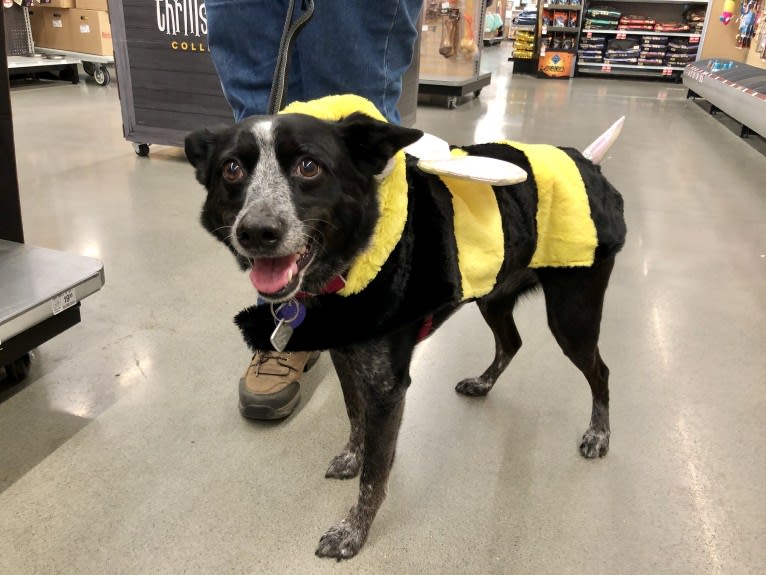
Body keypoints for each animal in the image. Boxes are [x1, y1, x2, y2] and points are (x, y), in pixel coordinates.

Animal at [188, 95, 632, 564]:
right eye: (231, 169)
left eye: (309, 166)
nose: (256, 232)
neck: (347, 264)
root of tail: (587, 161)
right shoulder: (347, 356)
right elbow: (355, 419)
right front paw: (351, 457)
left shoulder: (389, 386)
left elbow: (375, 472)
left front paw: (353, 532)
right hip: (494, 294)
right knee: (511, 342)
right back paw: (483, 383)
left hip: (572, 315)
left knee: (600, 372)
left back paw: (598, 434)